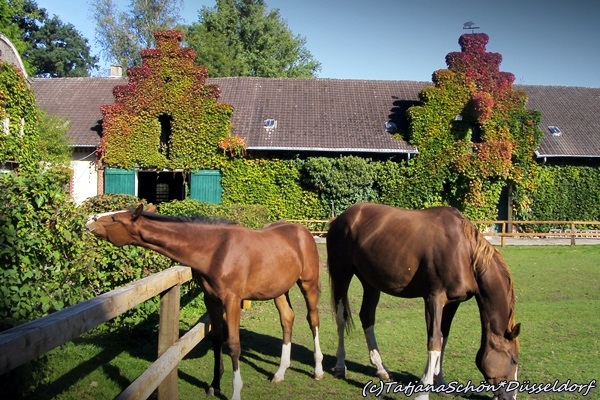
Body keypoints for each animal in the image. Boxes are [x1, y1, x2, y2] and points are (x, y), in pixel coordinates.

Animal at [85, 205, 324, 400]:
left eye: (115, 218)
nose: (88, 221)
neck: (215, 250)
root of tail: (303, 232)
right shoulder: (211, 299)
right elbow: (217, 340)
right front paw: (214, 385)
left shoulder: (232, 300)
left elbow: (234, 345)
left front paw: (235, 392)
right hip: (279, 290)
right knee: (287, 319)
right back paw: (280, 372)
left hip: (308, 284)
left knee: (313, 319)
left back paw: (318, 370)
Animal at [328, 205, 520, 398]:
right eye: (514, 360)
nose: (511, 396)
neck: (464, 252)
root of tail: (340, 218)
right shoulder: (434, 299)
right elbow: (434, 341)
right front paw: (423, 391)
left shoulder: (452, 303)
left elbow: (443, 338)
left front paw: (441, 383)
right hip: (341, 275)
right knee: (341, 318)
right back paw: (340, 366)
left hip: (371, 283)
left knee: (367, 317)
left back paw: (381, 369)